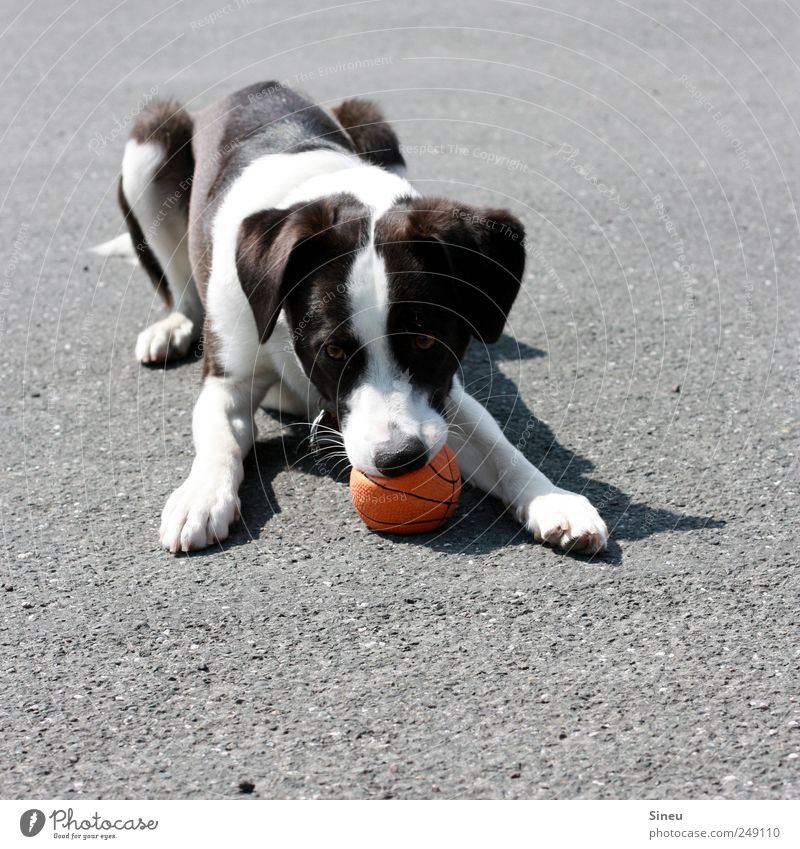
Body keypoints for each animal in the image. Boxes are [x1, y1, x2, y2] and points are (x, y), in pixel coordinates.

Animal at [114, 83, 608, 552]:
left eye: (426, 341)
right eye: (333, 350)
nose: (400, 459)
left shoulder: (443, 394)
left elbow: (497, 446)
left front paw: (552, 498)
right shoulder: (228, 376)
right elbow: (218, 435)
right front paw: (200, 495)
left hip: (372, 122)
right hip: (150, 140)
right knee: (178, 285)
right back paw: (174, 326)